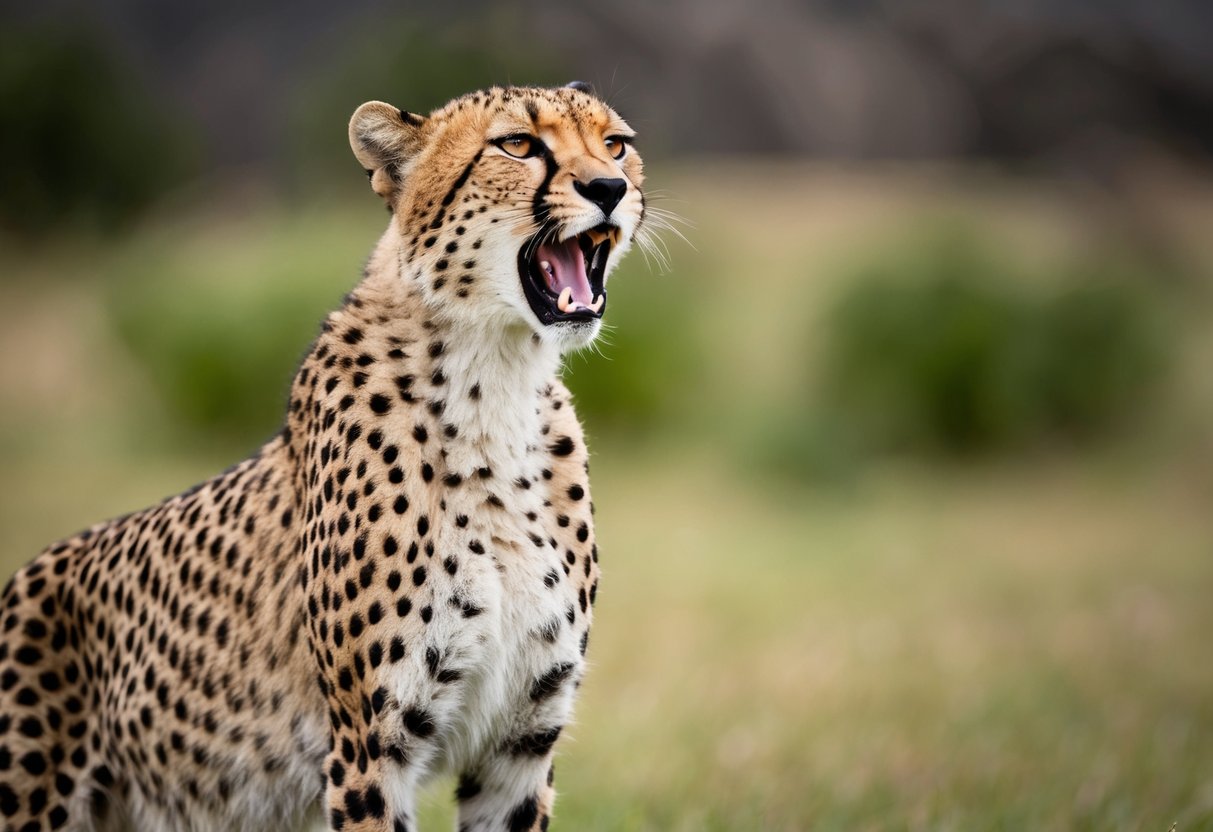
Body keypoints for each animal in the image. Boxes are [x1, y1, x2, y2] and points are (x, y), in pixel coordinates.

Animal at [0, 81, 646, 832]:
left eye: (615, 145)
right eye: (517, 144)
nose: (610, 188)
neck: (498, 381)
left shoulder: (519, 743)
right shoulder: (372, 743)